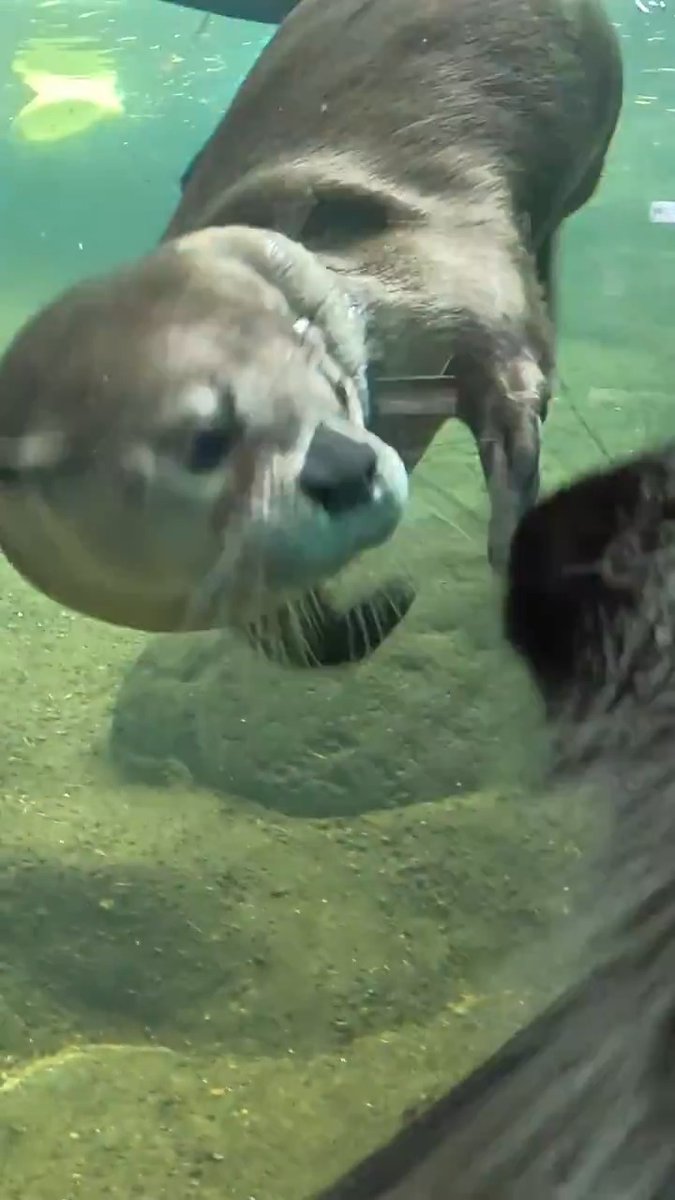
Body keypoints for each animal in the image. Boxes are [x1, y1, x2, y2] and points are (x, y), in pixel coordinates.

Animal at [0, 0, 622, 665]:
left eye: (335, 387)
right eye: (207, 442)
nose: (346, 467)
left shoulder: (454, 269)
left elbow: (509, 371)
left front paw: (515, 538)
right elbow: (292, 639)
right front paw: (378, 610)